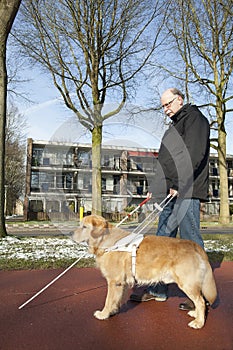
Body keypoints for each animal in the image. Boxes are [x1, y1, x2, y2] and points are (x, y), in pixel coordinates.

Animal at [73, 213, 217, 328]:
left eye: (84, 227)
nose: (71, 234)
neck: (105, 241)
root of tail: (194, 245)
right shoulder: (121, 283)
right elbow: (116, 299)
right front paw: (113, 311)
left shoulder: (114, 281)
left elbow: (108, 300)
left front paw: (103, 314)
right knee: (201, 299)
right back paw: (196, 314)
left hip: (187, 283)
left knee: (201, 301)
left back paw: (199, 322)